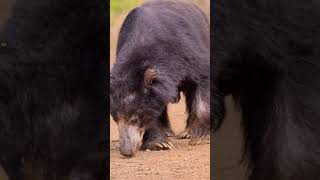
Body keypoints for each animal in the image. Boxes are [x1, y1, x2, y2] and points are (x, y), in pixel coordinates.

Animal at [110, 0, 210, 157]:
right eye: (115, 119)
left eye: (135, 118)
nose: (126, 151)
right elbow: (155, 110)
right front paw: (160, 144)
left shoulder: (192, 54)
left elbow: (202, 89)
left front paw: (199, 138)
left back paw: (187, 133)